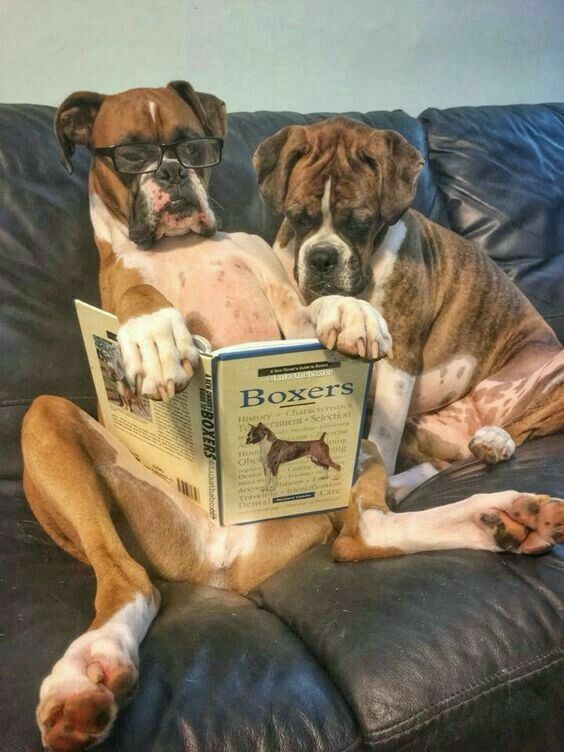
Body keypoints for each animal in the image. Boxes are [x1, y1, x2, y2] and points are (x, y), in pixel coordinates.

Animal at [253, 114, 564, 496]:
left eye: (360, 223)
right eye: (297, 217)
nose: (322, 258)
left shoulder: (398, 357)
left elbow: (383, 439)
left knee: (526, 423)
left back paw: (495, 439)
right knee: (431, 465)